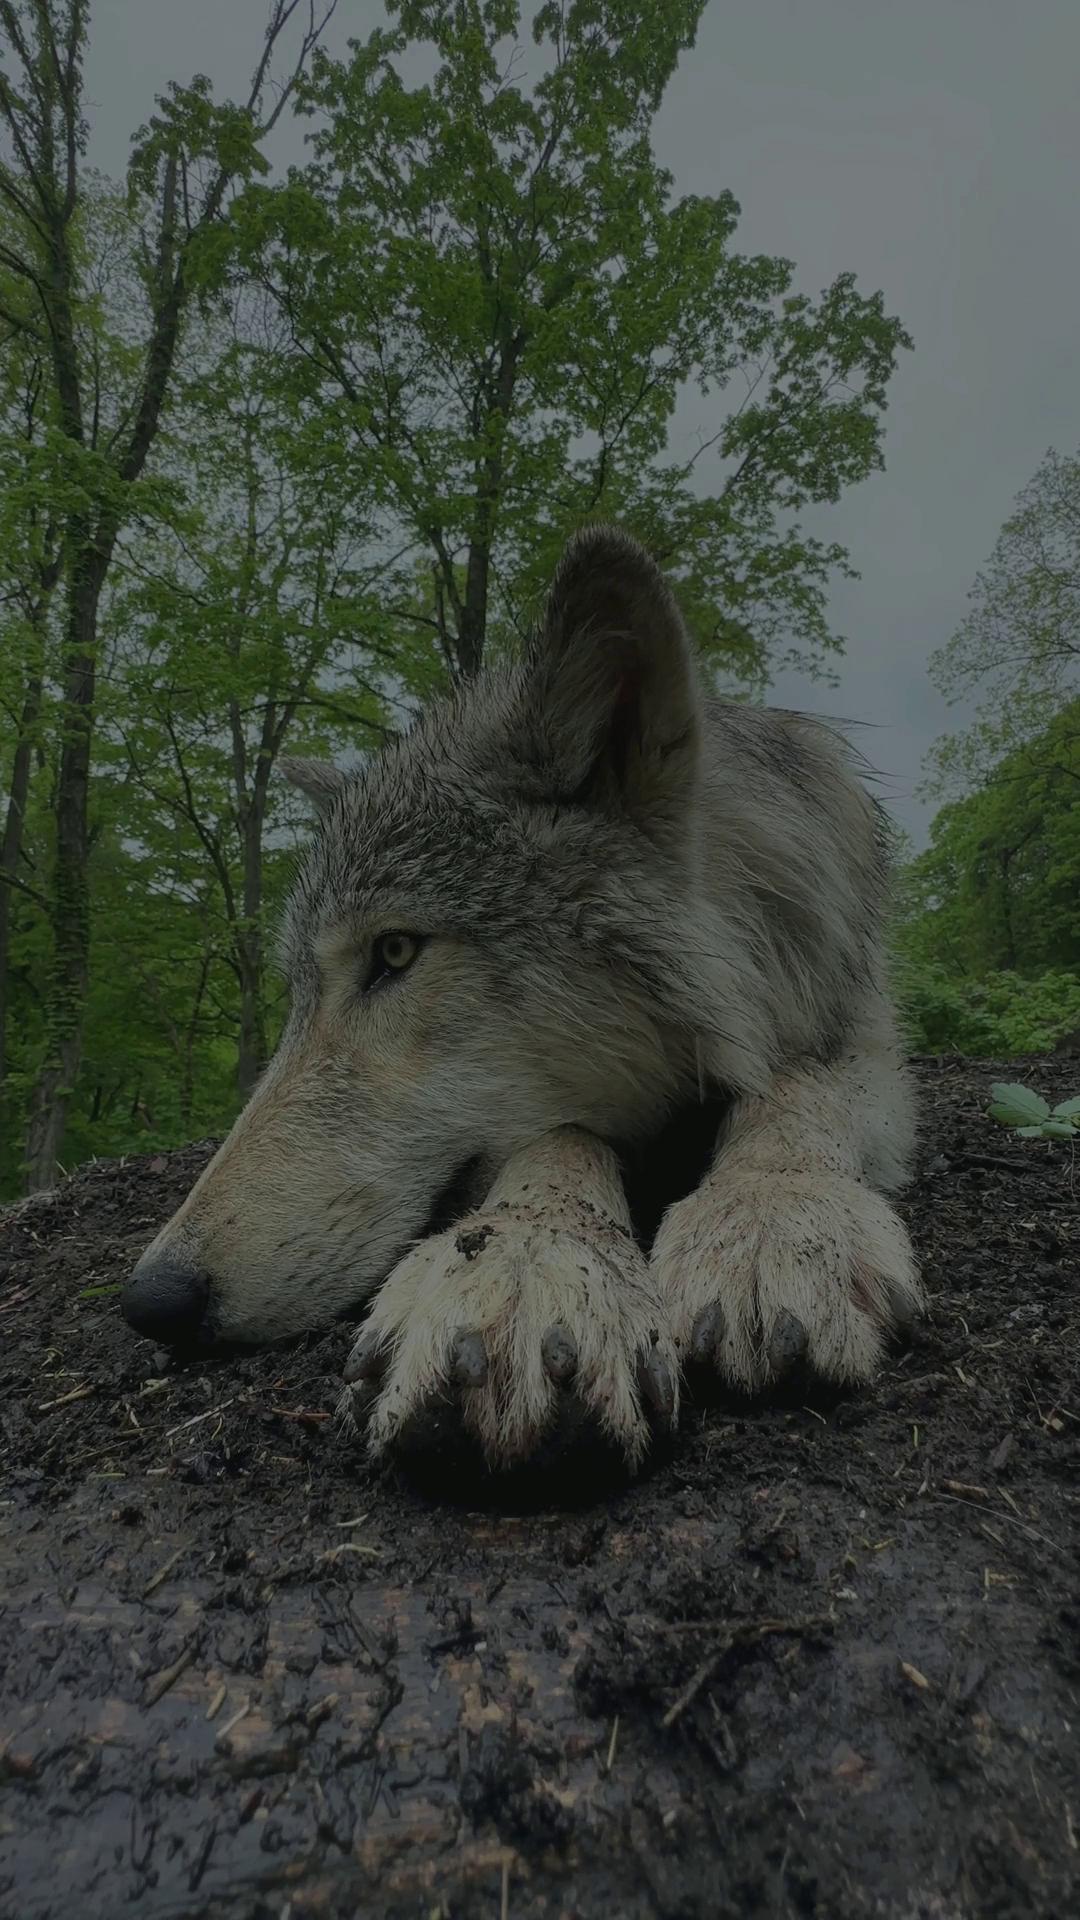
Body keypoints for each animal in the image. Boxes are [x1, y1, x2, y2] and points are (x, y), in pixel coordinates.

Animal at [122, 526, 922, 1468]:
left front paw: (771, 1217)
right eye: (300, 996)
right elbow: (557, 1140)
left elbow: (799, 1093)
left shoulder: (859, 1029)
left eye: (395, 952)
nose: (149, 1299)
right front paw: (526, 1253)